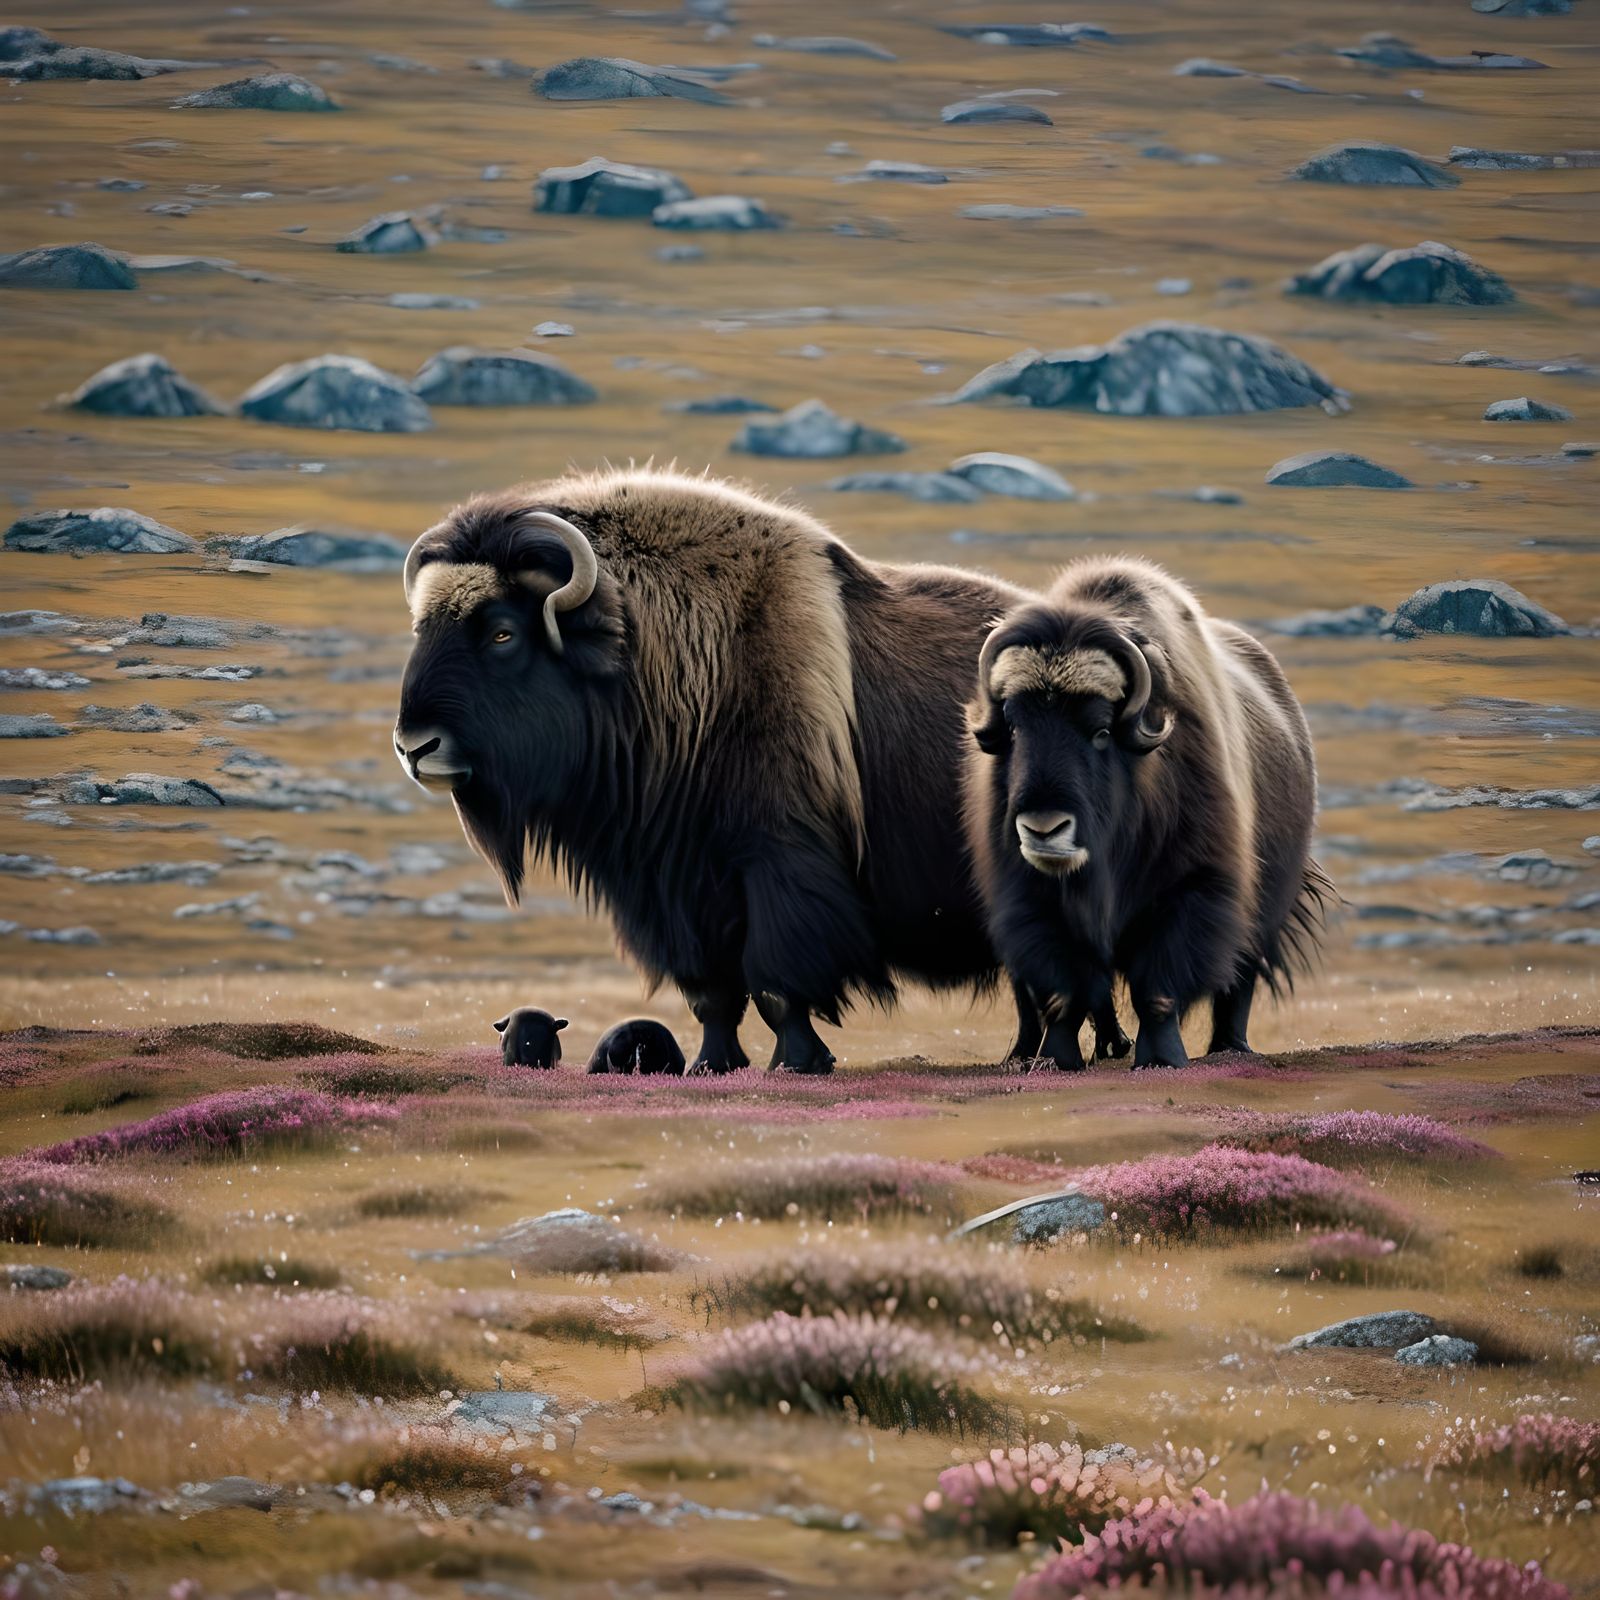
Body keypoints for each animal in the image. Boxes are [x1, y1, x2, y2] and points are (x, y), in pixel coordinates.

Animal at [964, 556, 1329, 1069]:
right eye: (1014, 727)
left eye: (1100, 731)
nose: (1043, 829)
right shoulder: (1029, 901)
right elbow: (1063, 995)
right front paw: (1055, 1061)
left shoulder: (1194, 888)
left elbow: (1157, 990)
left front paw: (1161, 1059)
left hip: (1263, 914)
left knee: (1239, 982)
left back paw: (1229, 1048)